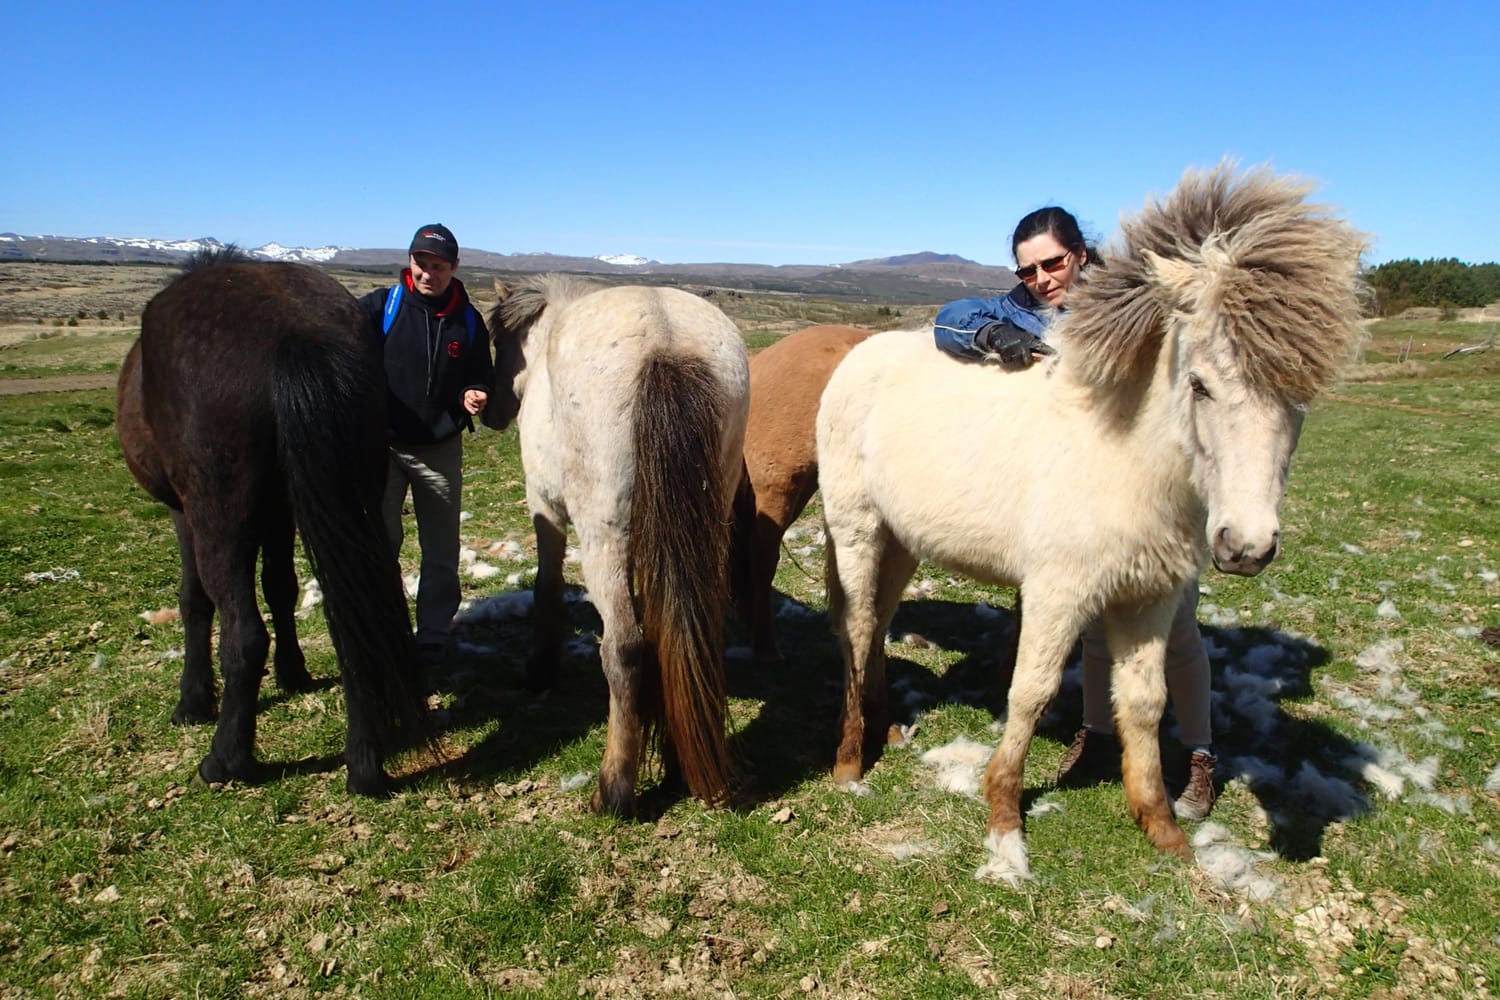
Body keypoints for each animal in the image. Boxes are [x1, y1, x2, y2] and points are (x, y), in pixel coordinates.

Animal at [116, 249, 429, 796]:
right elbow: (281, 586)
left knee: (243, 633)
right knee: (354, 622)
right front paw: (294, 673)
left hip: (218, 516)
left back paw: (227, 760)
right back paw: (364, 765)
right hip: (351, 498)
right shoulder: (283, 511)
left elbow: (194, 601)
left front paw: (192, 701)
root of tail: (295, 332)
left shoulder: (183, 511)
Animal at [489, 275, 750, 815]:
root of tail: (667, 343)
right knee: (691, 631)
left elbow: (547, 588)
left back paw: (614, 789)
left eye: (498, 342)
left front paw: (540, 668)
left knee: (623, 648)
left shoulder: (545, 509)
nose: (489, 410)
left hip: (602, 538)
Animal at [815, 164, 1367, 882]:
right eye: (1200, 384)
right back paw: (850, 759)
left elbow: (1145, 702)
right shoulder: (1057, 594)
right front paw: (1003, 818)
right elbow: (1031, 692)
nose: (1246, 546)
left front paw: (1162, 826)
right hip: (856, 529)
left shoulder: (1148, 599)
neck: (1125, 455)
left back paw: (882, 726)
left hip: (903, 542)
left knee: (878, 625)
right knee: (856, 629)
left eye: (1299, 395)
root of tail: (858, 357)